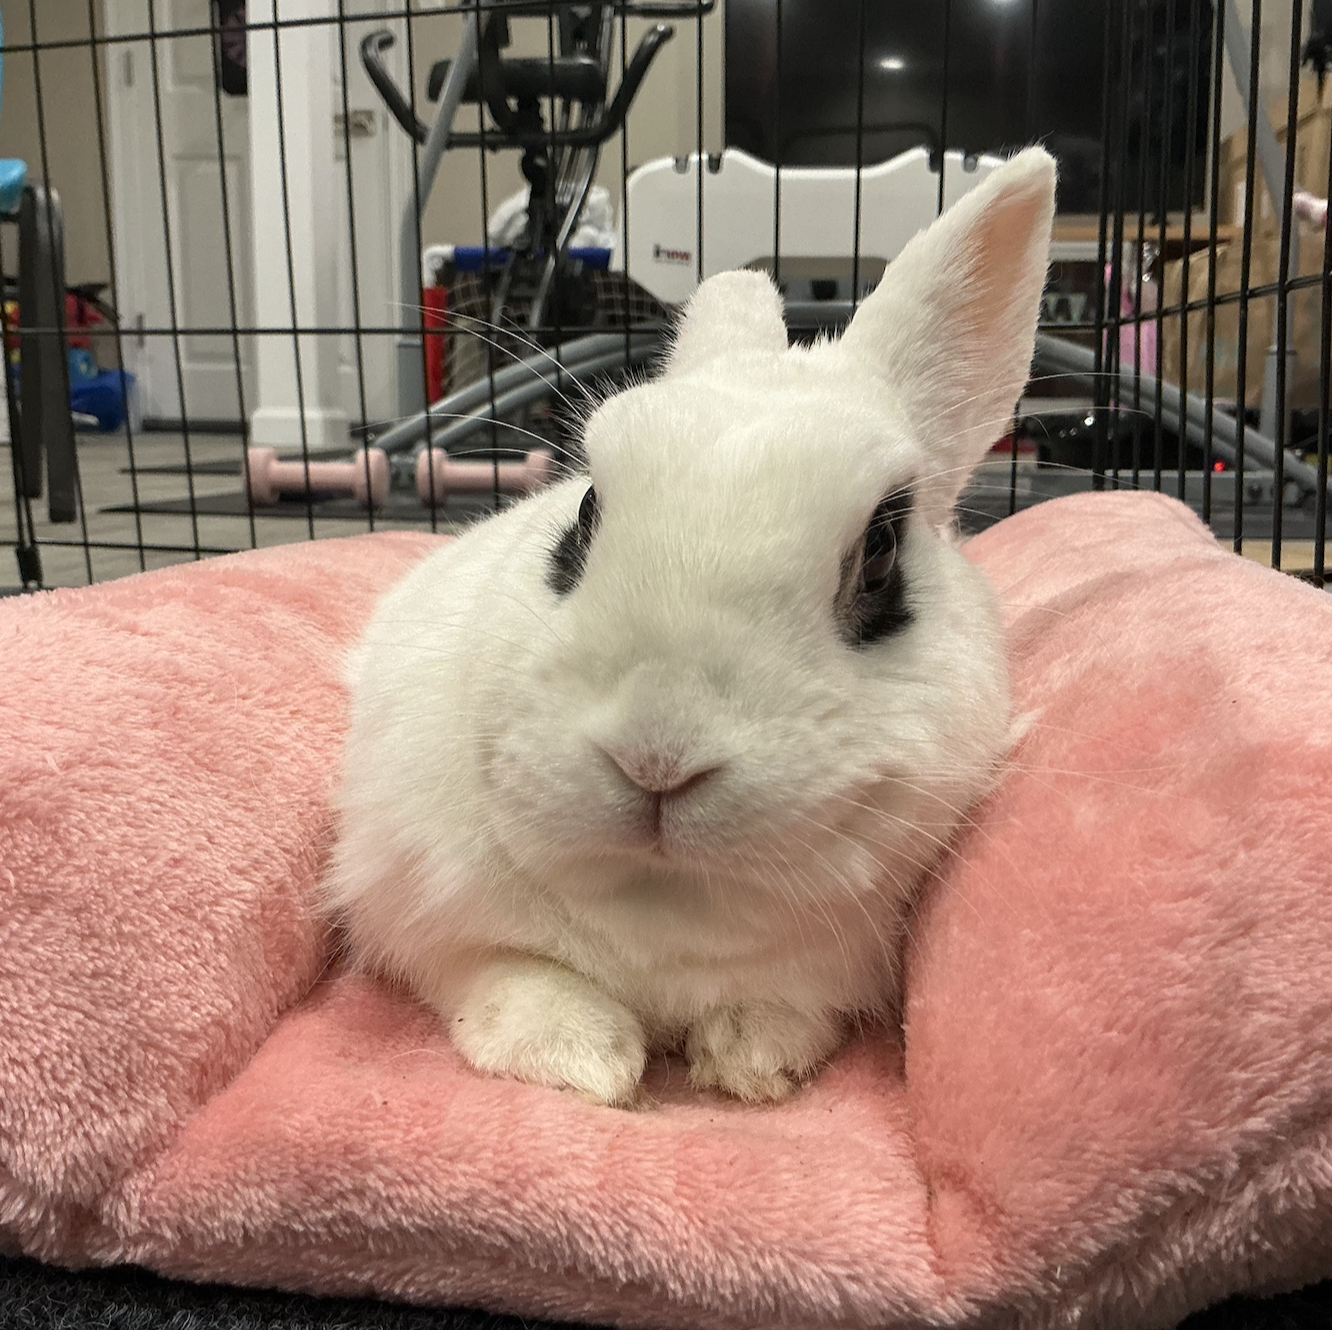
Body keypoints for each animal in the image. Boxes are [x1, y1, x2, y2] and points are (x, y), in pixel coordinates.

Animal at [325, 147, 1056, 1106]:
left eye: (881, 555)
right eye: (584, 517)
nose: (655, 754)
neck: (663, 901)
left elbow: (781, 1004)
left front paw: (750, 1061)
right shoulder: (423, 910)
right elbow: (502, 968)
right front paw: (582, 1059)